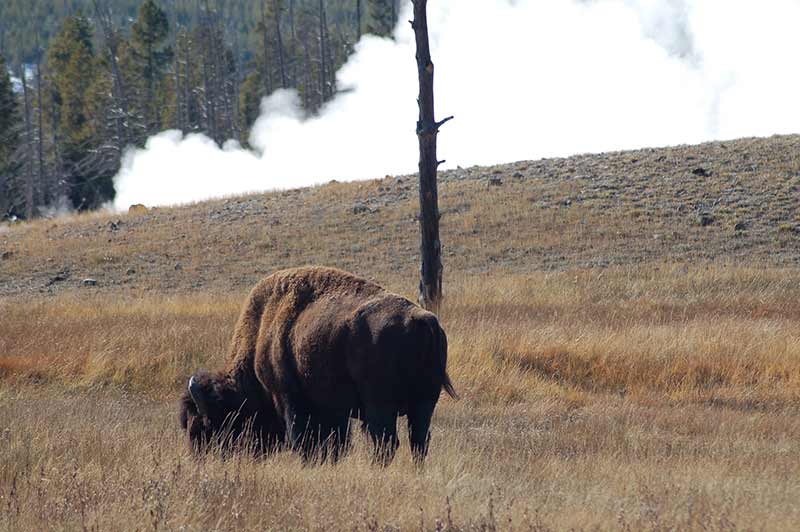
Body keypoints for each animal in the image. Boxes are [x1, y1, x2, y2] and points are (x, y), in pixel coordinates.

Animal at [180, 268, 456, 464]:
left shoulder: (289, 398)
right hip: (425, 402)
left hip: (381, 404)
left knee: (386, 442)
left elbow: (302, 439)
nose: (201, 458)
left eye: (205, 423)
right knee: (418, 442)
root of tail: (423, 319)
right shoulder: (333, 409)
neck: (262, 330)